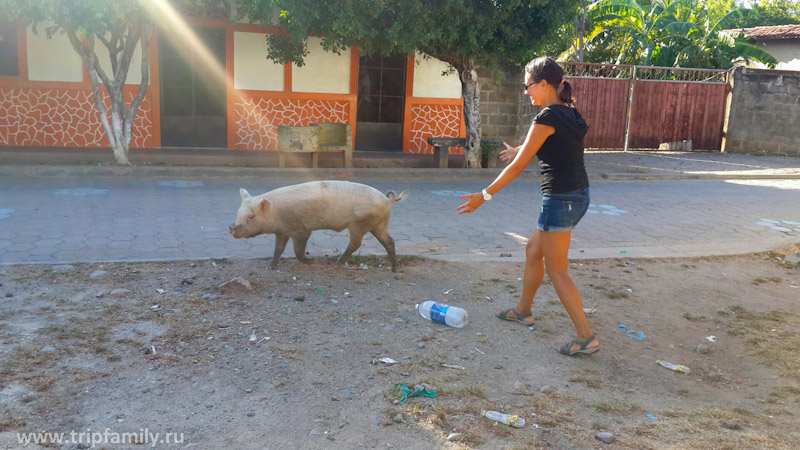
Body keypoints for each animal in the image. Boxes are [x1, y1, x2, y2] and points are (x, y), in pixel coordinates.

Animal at [228, 181, 410, 272]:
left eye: (251, 216)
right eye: (238, 212)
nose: (232, 229)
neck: (276, 214)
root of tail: (387, 200)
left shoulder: (301, 229)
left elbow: (298, 251)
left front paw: (312, 261)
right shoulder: (282, 231)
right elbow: (278, 249)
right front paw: (271, 267)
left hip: (360, 223)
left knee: (356, 243)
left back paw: (338, 263)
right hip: (379, 223)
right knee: (389, 241)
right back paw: (395, 269)